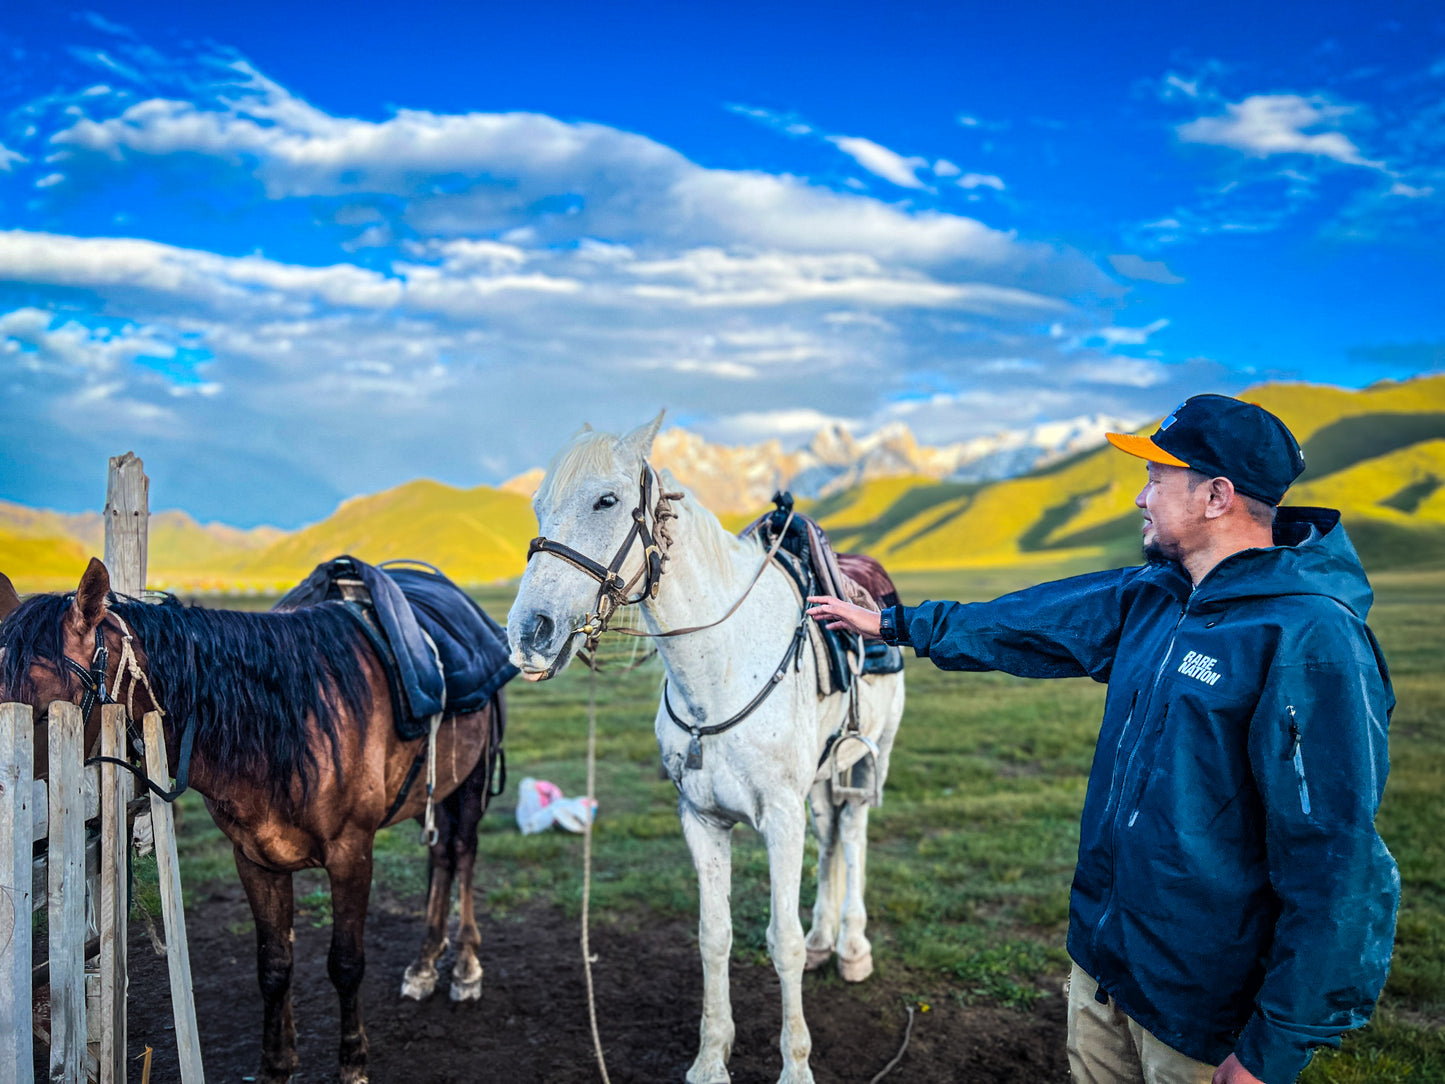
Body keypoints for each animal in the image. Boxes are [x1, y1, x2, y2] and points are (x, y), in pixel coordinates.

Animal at [0, 563, 508, 1084]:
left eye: (43, 709)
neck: (293, 727)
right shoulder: (256, 861)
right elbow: (274, 964)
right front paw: (277, 1064)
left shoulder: (351, 855)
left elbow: (346, 963)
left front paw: (352, 1061)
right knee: (441, 856)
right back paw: (424, 965)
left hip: (470, 784)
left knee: (462, 854)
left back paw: (465, 968)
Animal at [508, 419, 901, 1084]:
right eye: (537, 506)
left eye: (607, 500)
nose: (527, 634)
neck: (720, 666)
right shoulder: (702, 819)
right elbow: (713, 935)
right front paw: (711, 1059)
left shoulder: (780, 818)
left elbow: (781, 940)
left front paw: (795, 1066)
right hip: (822, 774)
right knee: (830, 836)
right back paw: (826, 940)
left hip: (873, 754)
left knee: (853, 834)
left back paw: (851, 948)